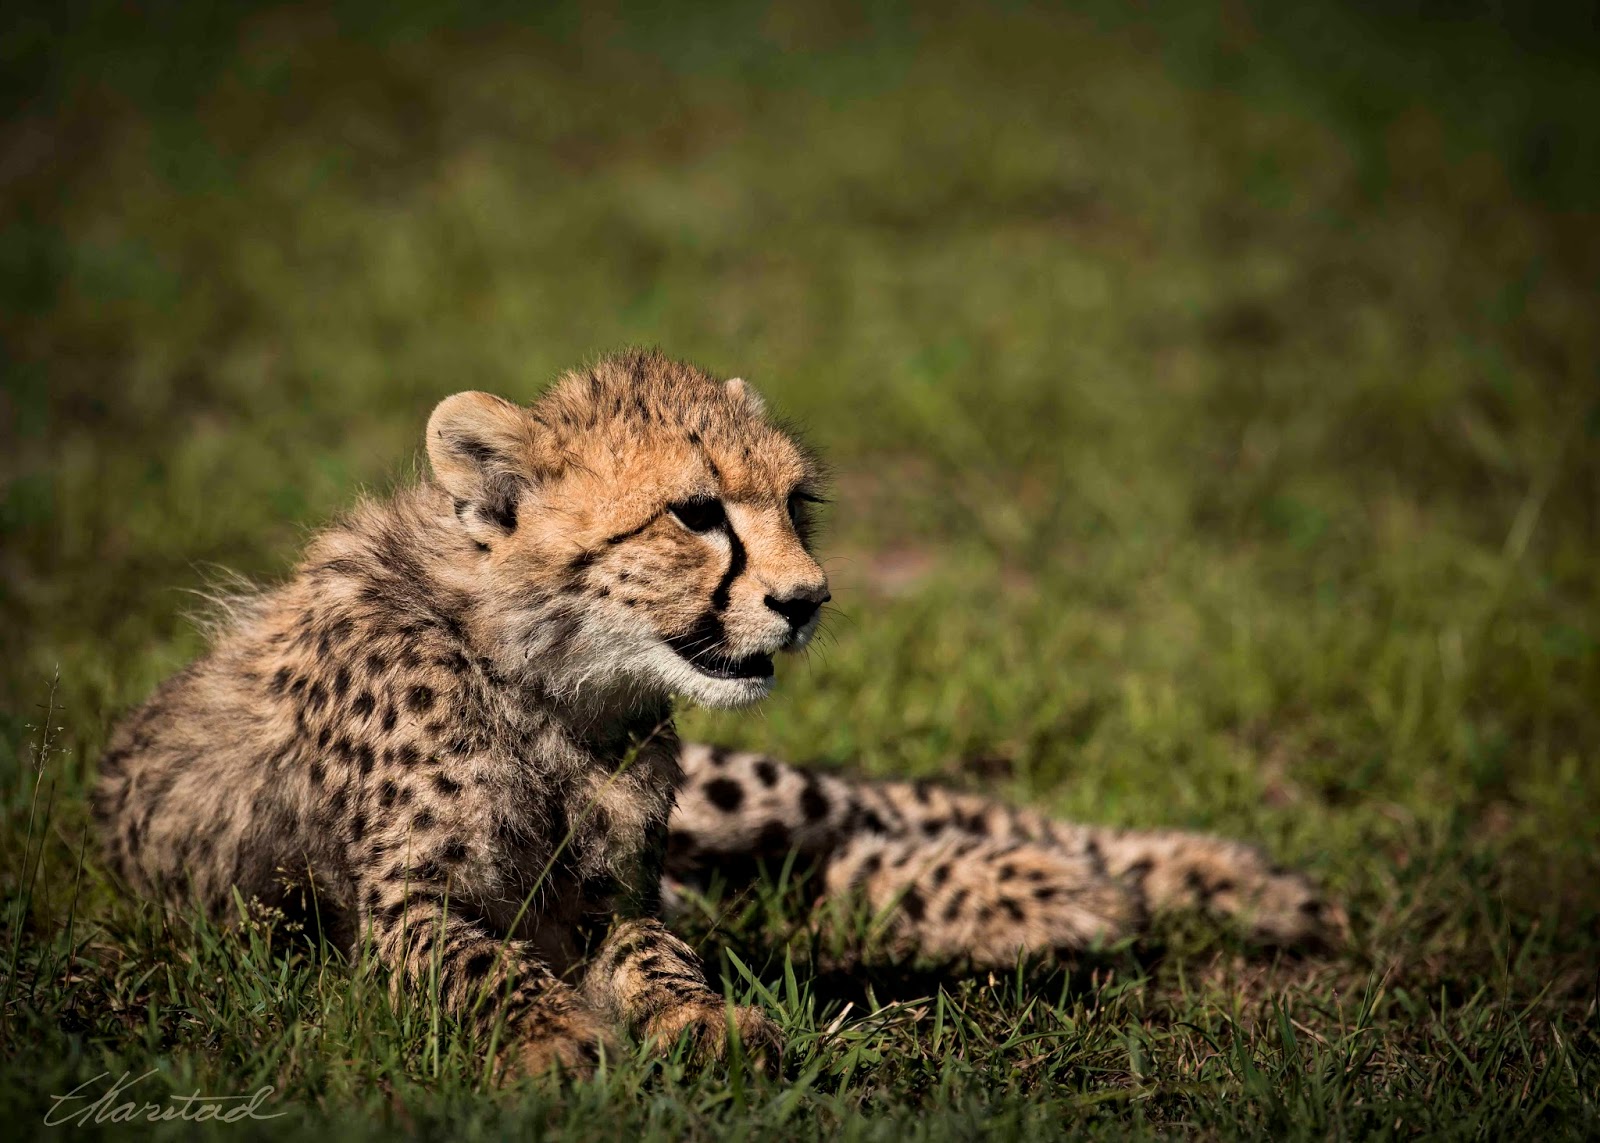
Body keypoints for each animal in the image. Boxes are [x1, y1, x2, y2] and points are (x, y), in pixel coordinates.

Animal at [92, 348, 1329, 1081]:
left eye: (795, 504)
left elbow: (659, 956)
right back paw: (1066, 900)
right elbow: (484, 965)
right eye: (695, 514)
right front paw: (556, 1039)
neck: (546, 678)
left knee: (894, 816)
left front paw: (698, 1021)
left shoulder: (618, 886)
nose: (808, 599)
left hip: (746, 800)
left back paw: (1203, 881)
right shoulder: (401, 906)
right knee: (851, 866)